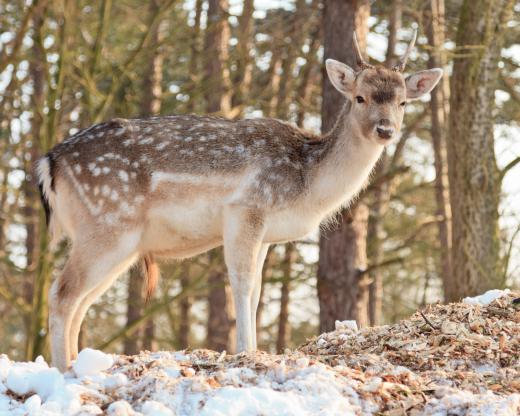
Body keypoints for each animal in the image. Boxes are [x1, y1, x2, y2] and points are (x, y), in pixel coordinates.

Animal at [37, 28, 442, 370]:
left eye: (403, 102)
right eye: (360, 97)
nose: (385, 130)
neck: (307, 184)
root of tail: (49, 163)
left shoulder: (267, 234)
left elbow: (258, 290)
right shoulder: (247, 208)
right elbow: (242, 283)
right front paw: (246, 351)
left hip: (121, 243)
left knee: (82, 300)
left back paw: (74, 363)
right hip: (107, 222)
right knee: (63, 293)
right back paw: (63, 369)